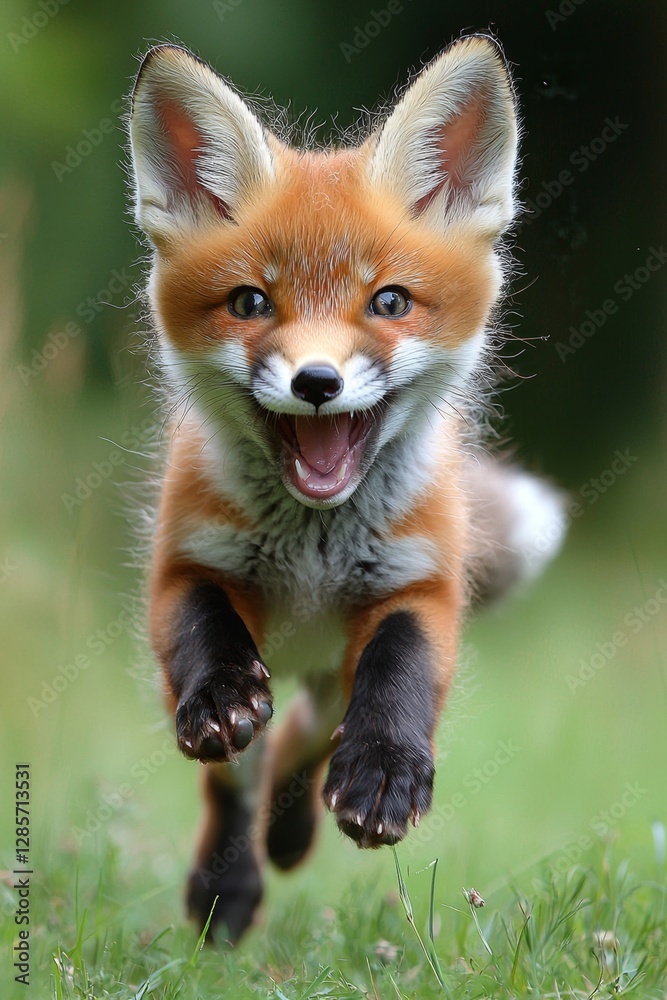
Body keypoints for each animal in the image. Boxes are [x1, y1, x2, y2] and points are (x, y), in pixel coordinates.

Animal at [128, 35, 565, 943]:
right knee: (243, 768)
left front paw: (385, 778)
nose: (317, 382)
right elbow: (204, 641)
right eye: (249, 302)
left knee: (305, 734)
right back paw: (231, 884)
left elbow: (398, 675)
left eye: (389, 301)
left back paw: (292, 827)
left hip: (332, 674)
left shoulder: (420, 585)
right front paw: (218, 696)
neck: (313, 548)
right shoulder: (186, 564)